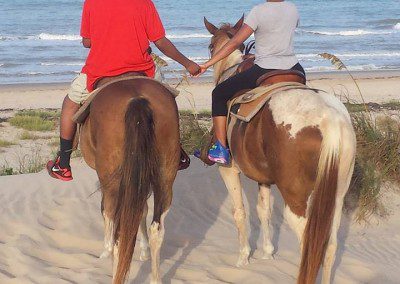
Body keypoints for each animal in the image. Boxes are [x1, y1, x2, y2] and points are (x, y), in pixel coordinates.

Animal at [77, 74, 180, 282]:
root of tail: (136, 99)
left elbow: (106, 214)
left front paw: (105, 252)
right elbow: (141, 210)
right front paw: (144, 251)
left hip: (112, 182)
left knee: (117, 230)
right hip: (166, 174)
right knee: (157, 228)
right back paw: (156, 278)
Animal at [203, 17, 356, 284]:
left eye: (211, 46)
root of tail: (330, 119)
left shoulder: (229, 171)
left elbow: (240, 212)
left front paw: (244, 258)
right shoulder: (264, 178)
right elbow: (263, 210)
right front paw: (267, 253)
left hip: (296, 200)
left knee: (309, 246)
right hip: (336, 197)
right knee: (329, 247)